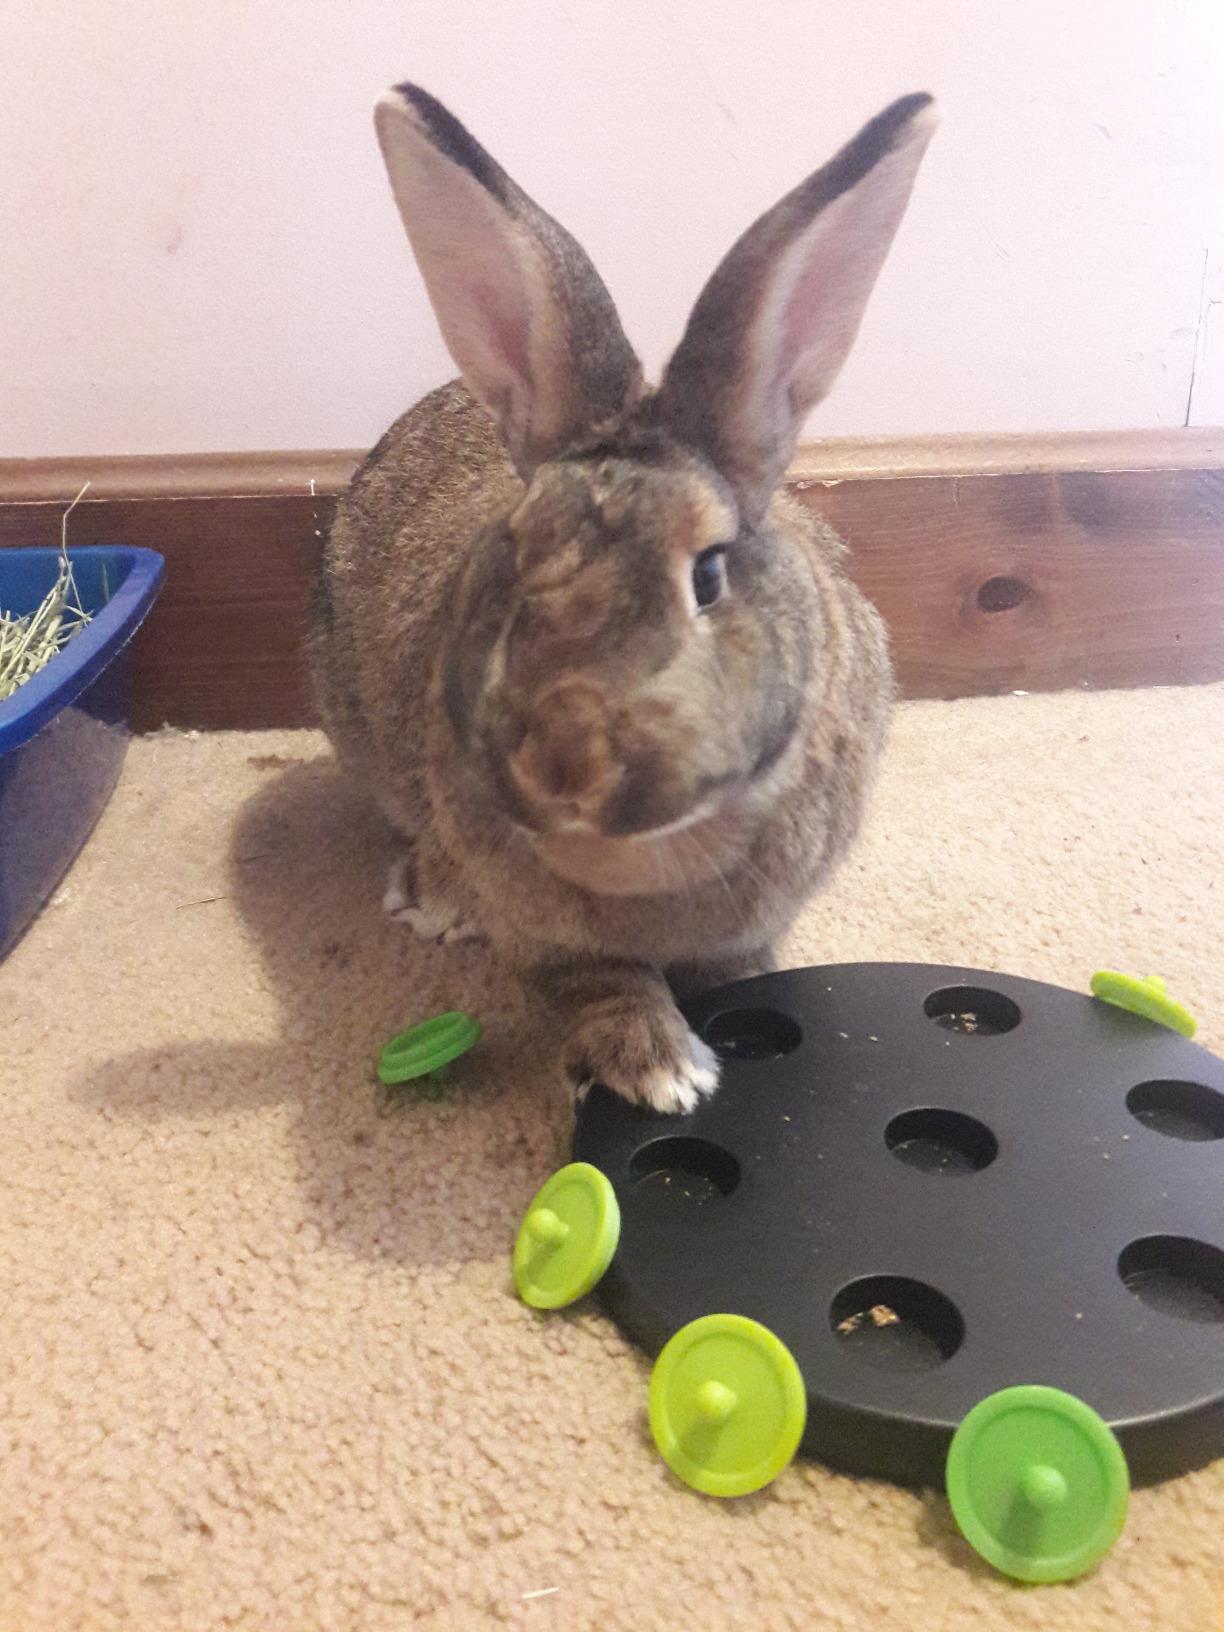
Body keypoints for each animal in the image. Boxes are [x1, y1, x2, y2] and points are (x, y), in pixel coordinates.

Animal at [309, 83, 937, 1114]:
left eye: (709, 574)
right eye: (516, 551)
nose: (565, 757)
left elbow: (739, 967)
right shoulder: (549, 934)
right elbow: (594, 980)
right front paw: (656, 1071)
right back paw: (433, 894)